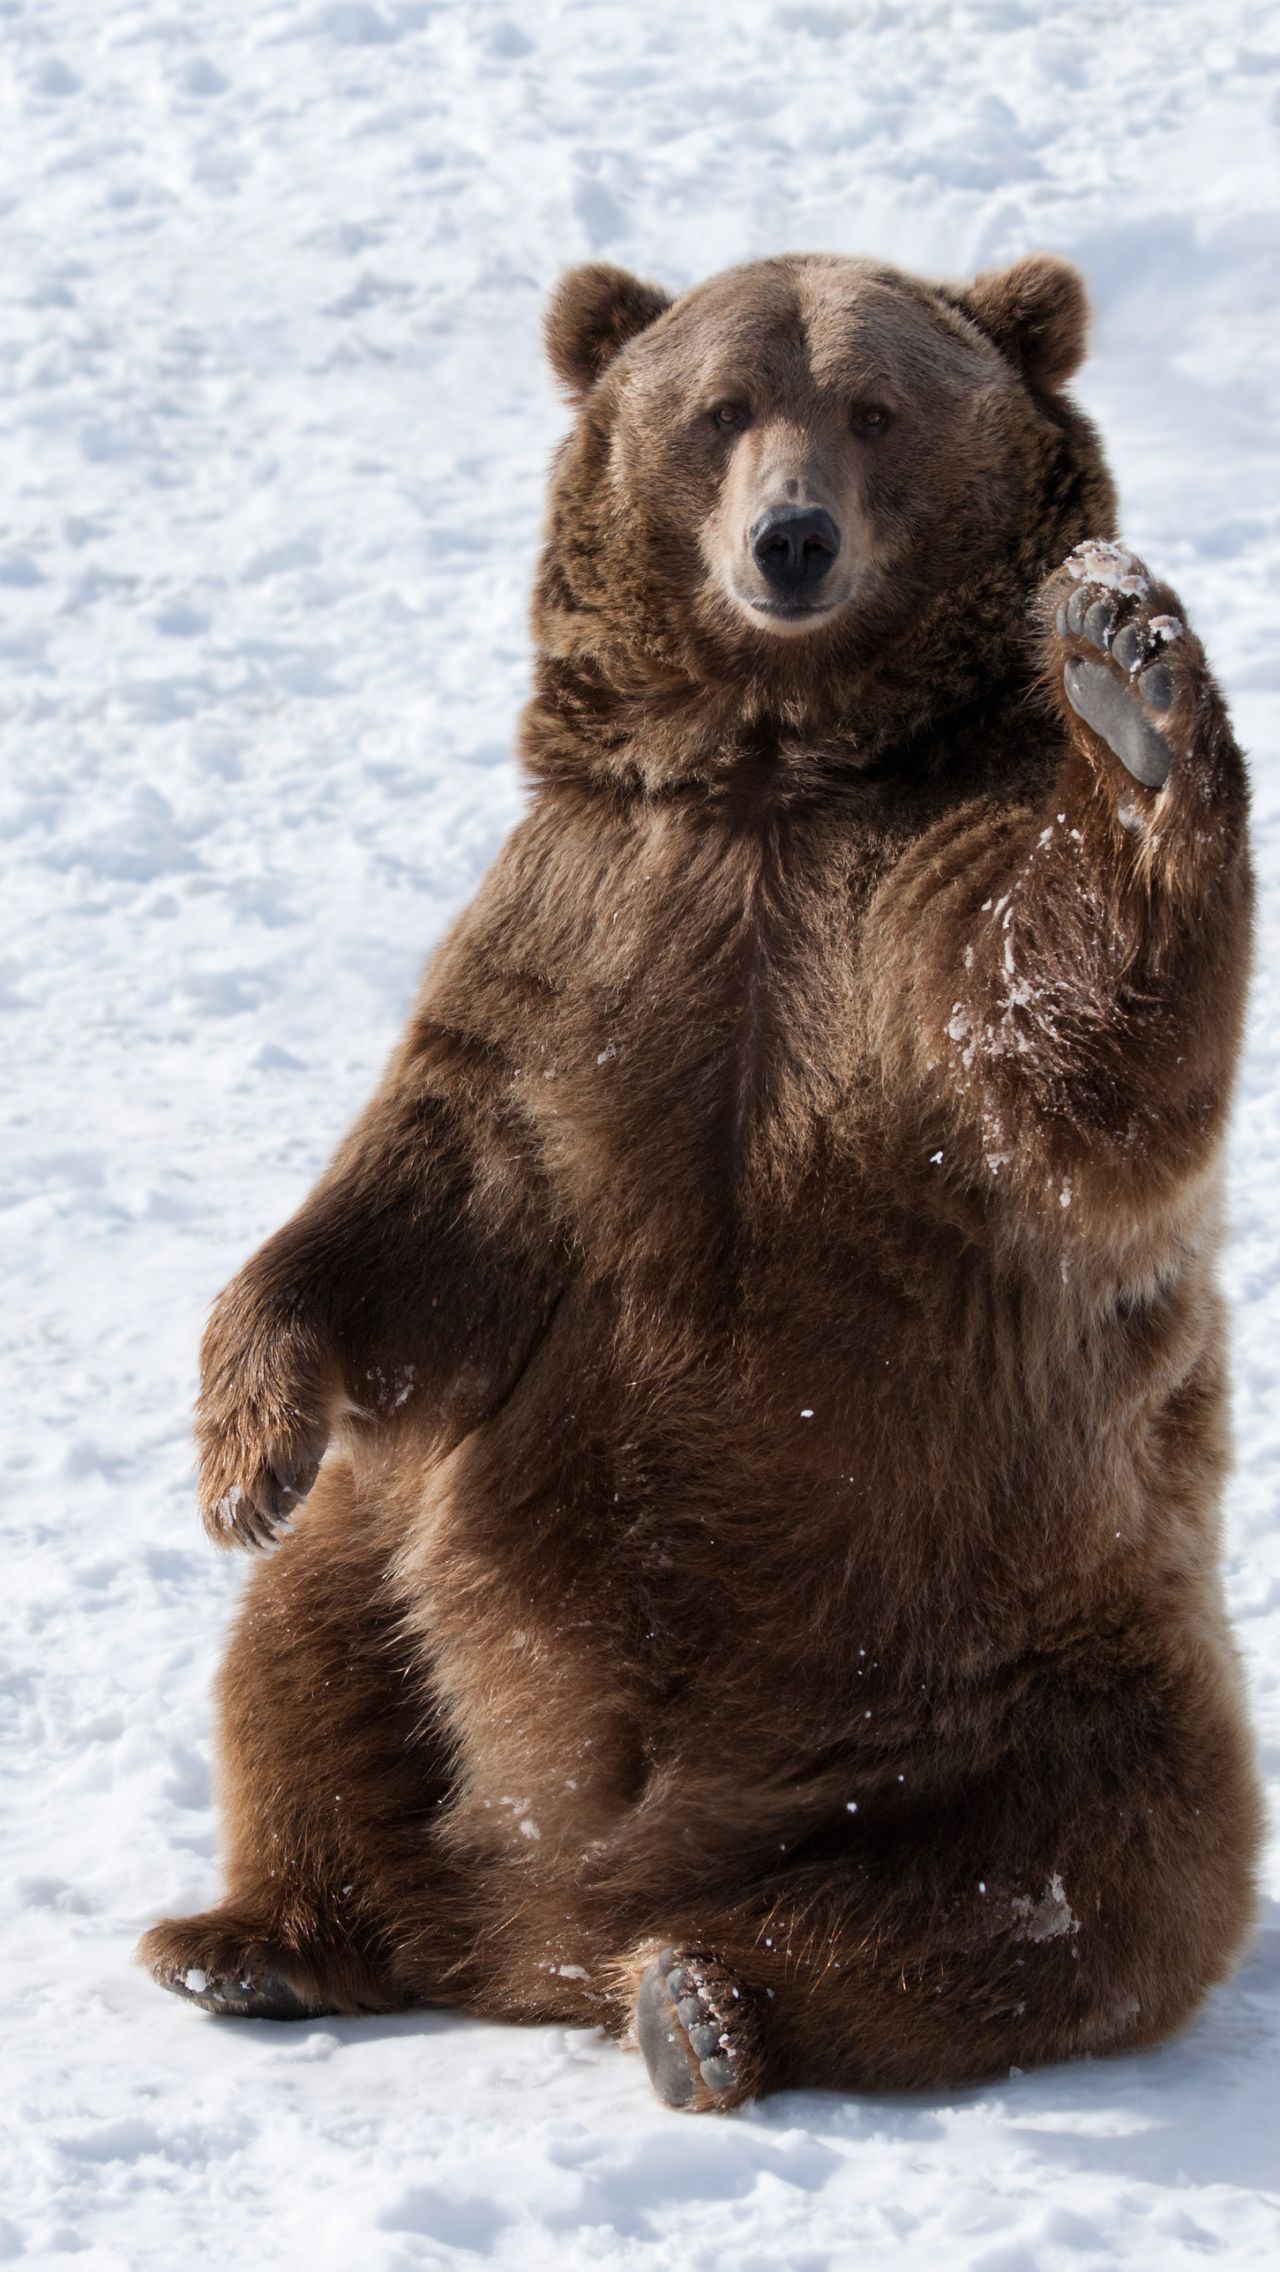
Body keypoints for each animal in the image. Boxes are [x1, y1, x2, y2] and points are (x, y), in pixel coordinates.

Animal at [137, 248, 1264, 2108]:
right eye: (722, 404)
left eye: (874, 407)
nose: (790, 540)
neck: (774, 770)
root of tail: (545, 1925)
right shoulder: (590, 927)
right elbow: (427, 1190)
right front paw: (243, 1449)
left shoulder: (906, 917)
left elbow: (1072, 1055)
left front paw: (1124, 673)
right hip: (411, 1585)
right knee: (308, 1657)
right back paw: (260, 1934)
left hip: (1035, 1668)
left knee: (1077, 1884)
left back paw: (709, 2002)